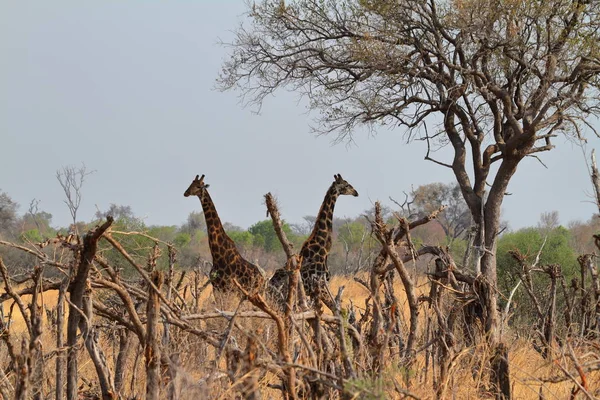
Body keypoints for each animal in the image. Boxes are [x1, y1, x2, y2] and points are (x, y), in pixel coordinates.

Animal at [270, 174, 358, 310]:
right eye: (347, 184)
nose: (356, 193)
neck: (323, 248)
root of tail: (268, 284)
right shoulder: (320, 286)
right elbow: (335, 309)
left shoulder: (315, 290)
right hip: (281, 298)